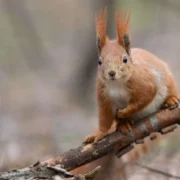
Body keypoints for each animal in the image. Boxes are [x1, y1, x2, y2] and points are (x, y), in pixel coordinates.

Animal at [84, 8, 179, 143]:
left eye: (125, 59)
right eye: (99, 62)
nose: (111, 73)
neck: (116, 84)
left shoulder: (145, 82)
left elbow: (144, 98)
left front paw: (125, 112)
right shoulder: (103, 96)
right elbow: (104, 118)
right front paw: (98, 134)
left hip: (168, 79)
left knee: (171, 90)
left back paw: (171, 99)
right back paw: (123, 124)